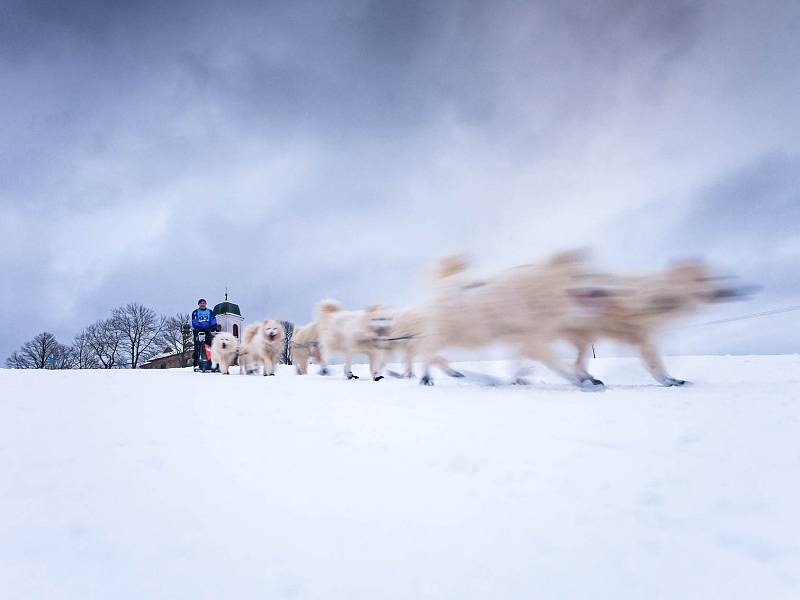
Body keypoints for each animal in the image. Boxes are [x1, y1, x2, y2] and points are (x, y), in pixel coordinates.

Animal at [418, 252, 608, 390]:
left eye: (592, 275)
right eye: (580, 276)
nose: (600, 292)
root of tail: (442, 282)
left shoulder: (523, 340)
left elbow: (518, 363)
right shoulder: (533, 342)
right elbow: (559, 365)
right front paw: (581, 380)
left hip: (469, 337)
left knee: (436, 354)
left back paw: (462, 374)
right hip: (455, 335)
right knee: (427, 350)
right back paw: (427, 378)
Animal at [560, 262, 748, 384]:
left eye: (711, 278)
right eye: (701, 279)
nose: (738, 290)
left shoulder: (650, 338)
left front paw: (673, 379)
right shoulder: (645, 339)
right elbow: (656, 365)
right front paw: (668, 381)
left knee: (576, 364)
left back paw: (587, 378)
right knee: (574, 364)